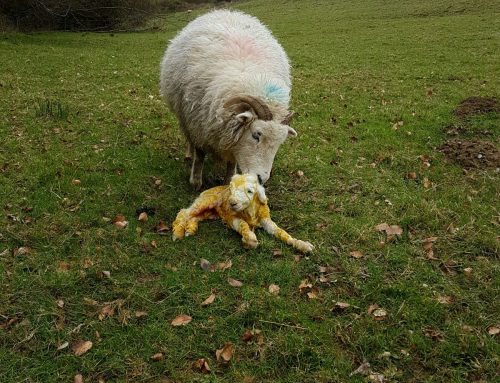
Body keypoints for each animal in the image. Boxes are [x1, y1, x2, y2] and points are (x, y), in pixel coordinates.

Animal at [159, 8, 296, 189]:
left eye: (280, 143)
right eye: (256, 135)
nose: (261, 179)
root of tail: (225, 11)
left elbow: (231, 162)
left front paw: (228, 180)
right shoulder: (197, 123)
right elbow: (200, 154)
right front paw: (195, 181)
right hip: (183, 113)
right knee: (188, 137)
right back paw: (189, 154)